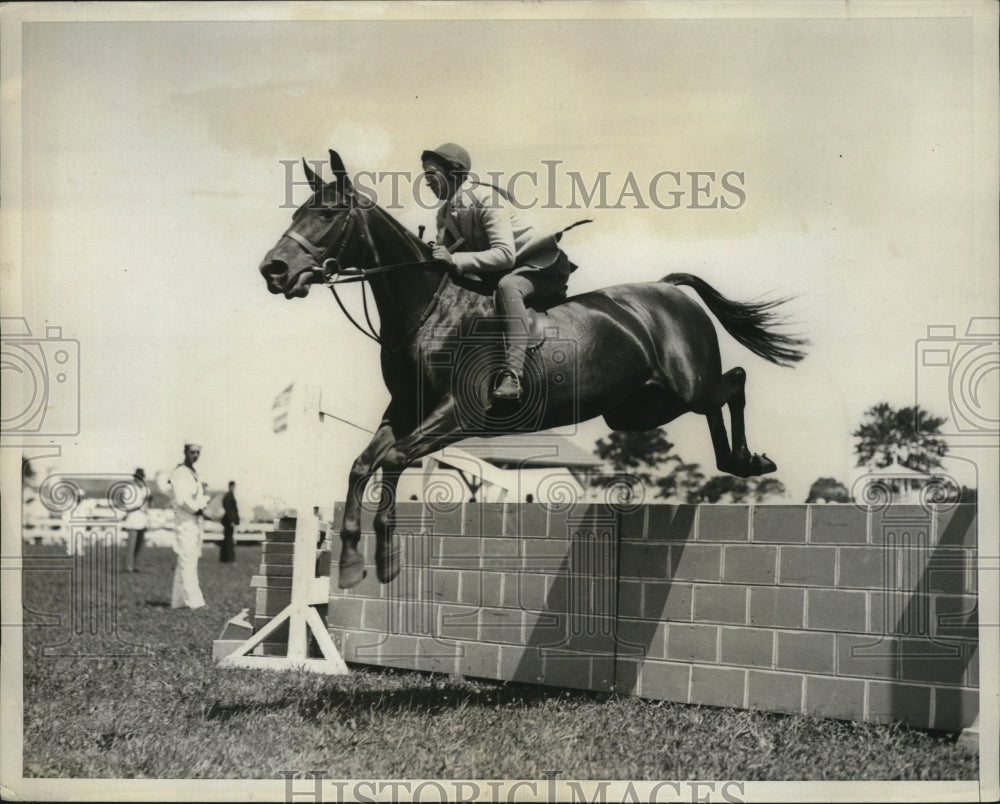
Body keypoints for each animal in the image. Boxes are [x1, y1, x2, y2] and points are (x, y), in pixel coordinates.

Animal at [262, 152, 808, 592]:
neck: (428, 309)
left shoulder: (459, 413)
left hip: (685, 384)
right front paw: (352, 562)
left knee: (734, 381)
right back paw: (735, 462)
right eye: (296, 211)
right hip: (638, 409)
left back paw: (750, 461)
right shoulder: (405, 410)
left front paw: (388, 558)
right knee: (717, 398)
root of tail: (668, 288)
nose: (274, 271)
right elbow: (362, 464)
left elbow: (394, 459)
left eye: (327, 213)